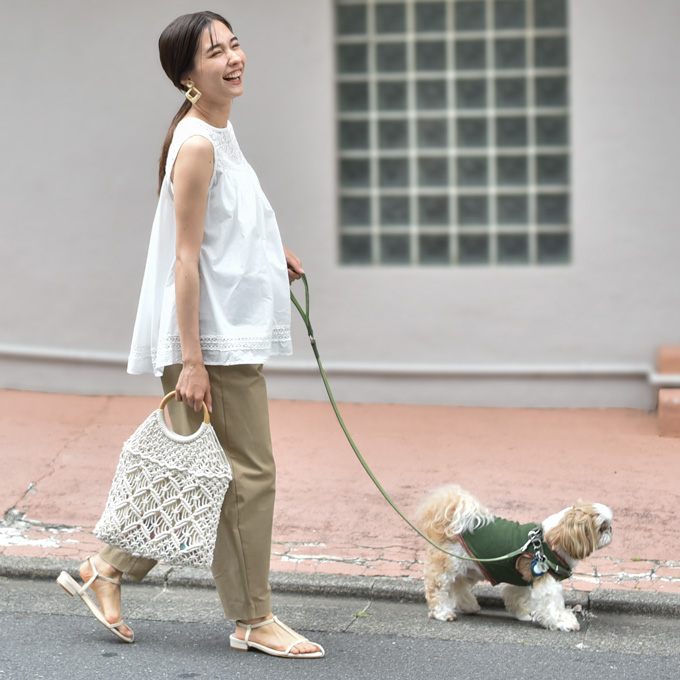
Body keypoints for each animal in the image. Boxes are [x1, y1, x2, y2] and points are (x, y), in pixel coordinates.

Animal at [418, 486, 612, 628]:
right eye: (602, 527)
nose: (610, 530)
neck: (554, 538)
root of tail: (450, 523)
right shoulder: (546, 579)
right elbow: (552, 603)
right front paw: (564, 621)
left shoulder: (523, 577)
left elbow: (516, 595)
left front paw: (522, 613)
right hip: (448, 566)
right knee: (438, 589)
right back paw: (442, 612)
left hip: (470, 566)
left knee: (459, 586)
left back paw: (469, 605)